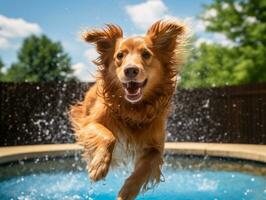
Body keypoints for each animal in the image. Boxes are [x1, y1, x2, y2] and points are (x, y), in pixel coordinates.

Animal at [69, 19, 188, 199]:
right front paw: (98, 166)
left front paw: (127, 191)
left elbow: (147, 165)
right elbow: (108, 135)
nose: (131, 70)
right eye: (120, 55)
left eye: (146, 54)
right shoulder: (88, 124)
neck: (133, 108)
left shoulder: (156, 147)